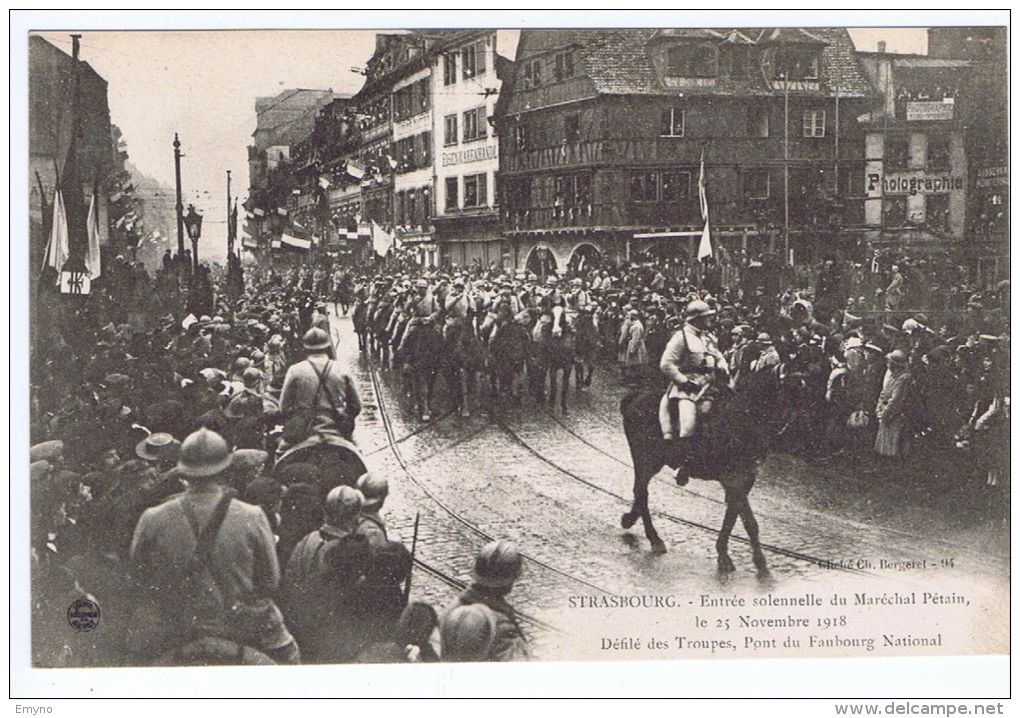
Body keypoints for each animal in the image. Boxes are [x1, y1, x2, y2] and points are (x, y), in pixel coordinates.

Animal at [612, 361, 787, 575]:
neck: (743, 418)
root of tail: (635, 397)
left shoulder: (745, 481)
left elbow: (735, 517)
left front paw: (732, 555)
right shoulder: (734, 480)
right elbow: (749, 520)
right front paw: (746, 559)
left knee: (639, 492)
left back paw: (630, 518)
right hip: (645, 460)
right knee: (641, 493)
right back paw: (654, 539)